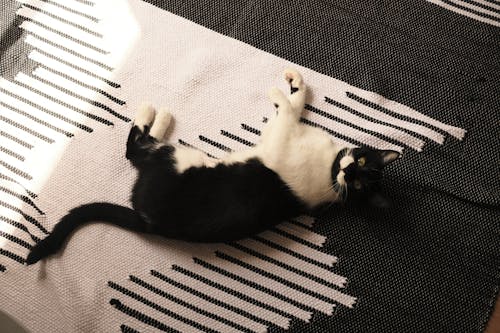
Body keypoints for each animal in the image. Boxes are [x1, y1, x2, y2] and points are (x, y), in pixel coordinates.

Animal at [28, 68, 402, 264]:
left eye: (359, 184)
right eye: (362, 162)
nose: (349, 171)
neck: (329, 167)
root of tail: (148, 221)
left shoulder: (280, 138)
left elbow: (287, 110)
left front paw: (277, 94)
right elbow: (296, 102)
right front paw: (295, 82)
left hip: (178, 159)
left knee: (136, 149)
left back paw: (155, 114)